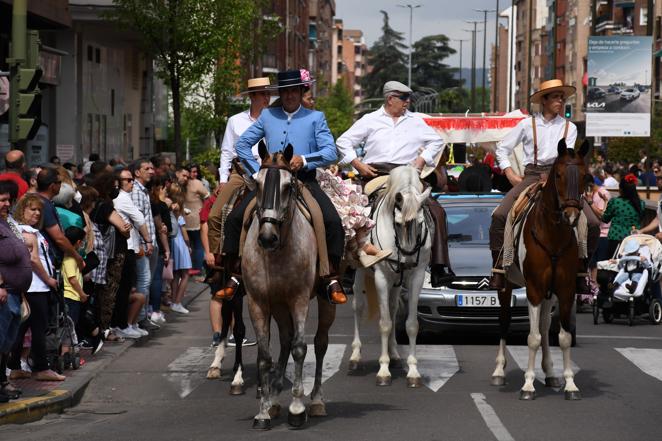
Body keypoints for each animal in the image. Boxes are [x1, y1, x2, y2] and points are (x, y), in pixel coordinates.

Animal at [243, 144, 338, 430]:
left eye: (288, 186)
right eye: (258, 184)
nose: (267, 238)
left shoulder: (298, 299)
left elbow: (300, 348)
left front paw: (297, 407)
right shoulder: (258, 302)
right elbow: (265, 356)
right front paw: (263, 411)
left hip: (324, 302)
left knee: (320, 343)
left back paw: (316, 400)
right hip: (278, 305)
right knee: (284, 341)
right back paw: (274, 400)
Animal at [350, 165, 434, 384]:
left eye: (421, 223)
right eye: (397, 223)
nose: (408, 260)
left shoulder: (417, 276)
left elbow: (411, 324)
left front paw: (413, 370)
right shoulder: (381, 277)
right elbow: (385, 323)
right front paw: (383, 370)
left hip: (397, 281)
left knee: (394, 308)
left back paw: (395, 354)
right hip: (361, 271)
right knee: (358, 306)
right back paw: (355, 356)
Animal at [492, 138, 592, 398]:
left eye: (586, 176)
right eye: (558, 175)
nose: (571, 216)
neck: (553, 232)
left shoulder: (565, 289)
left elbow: (563, 337)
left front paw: (570, 384)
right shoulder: (534, 289)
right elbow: (533, 337)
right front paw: (528, 384)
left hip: (550, 292)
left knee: (546, 327)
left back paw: (549, 373)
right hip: (506, 286)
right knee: (504, 322)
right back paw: (499, 372)